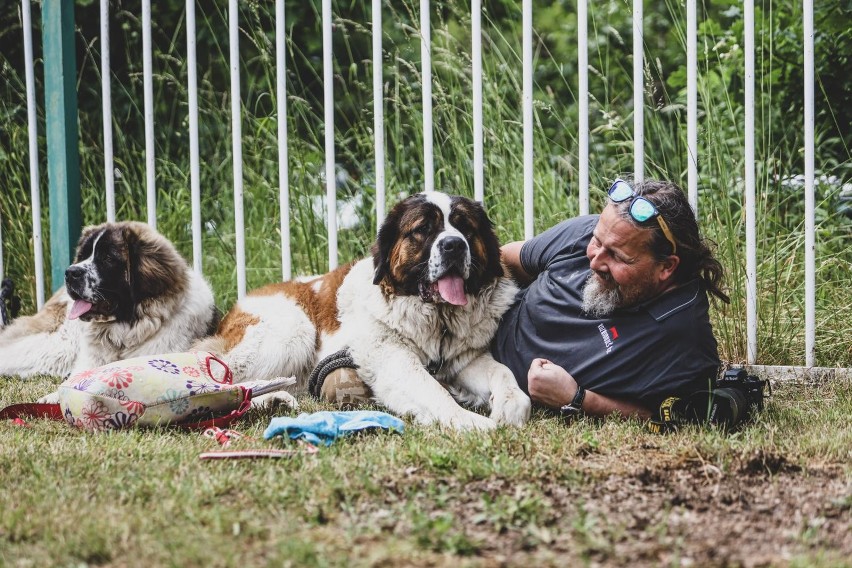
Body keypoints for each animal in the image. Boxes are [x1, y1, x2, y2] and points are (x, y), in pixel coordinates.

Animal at [198, 192, 532, 430]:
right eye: (423, 229)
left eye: (465, 227)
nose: (454, 245)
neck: (436, 320)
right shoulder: (393, 358)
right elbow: (430, 389)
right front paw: (469, 421)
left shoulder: (465, 360)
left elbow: (503, 374)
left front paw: (509, 406)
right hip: (289, 332)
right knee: (225, 376)